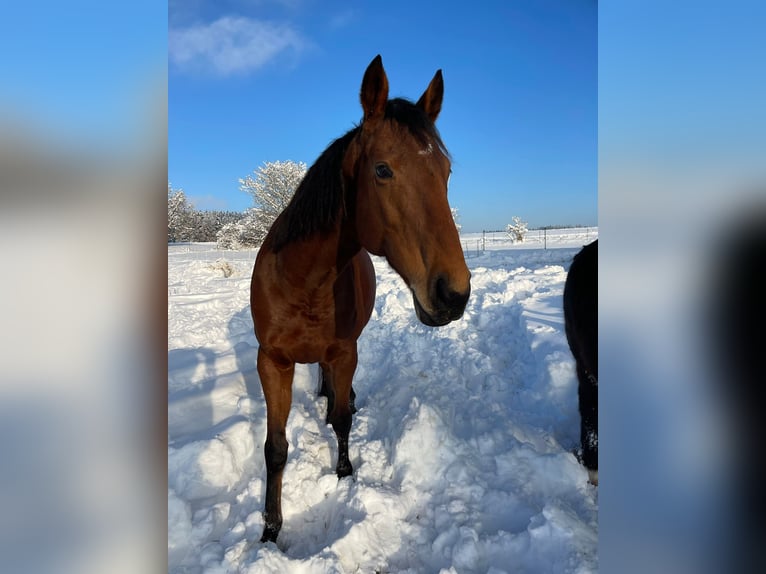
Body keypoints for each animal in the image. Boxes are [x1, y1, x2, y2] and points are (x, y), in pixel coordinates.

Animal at [250, 55, 471, 543]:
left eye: (446, 173)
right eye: (383, 170)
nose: (454, 293)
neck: (302, 281)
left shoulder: (344, 351)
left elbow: (343, 420)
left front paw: (345, 474)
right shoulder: (271, 361)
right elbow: (275, 448)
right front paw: (270, 530)